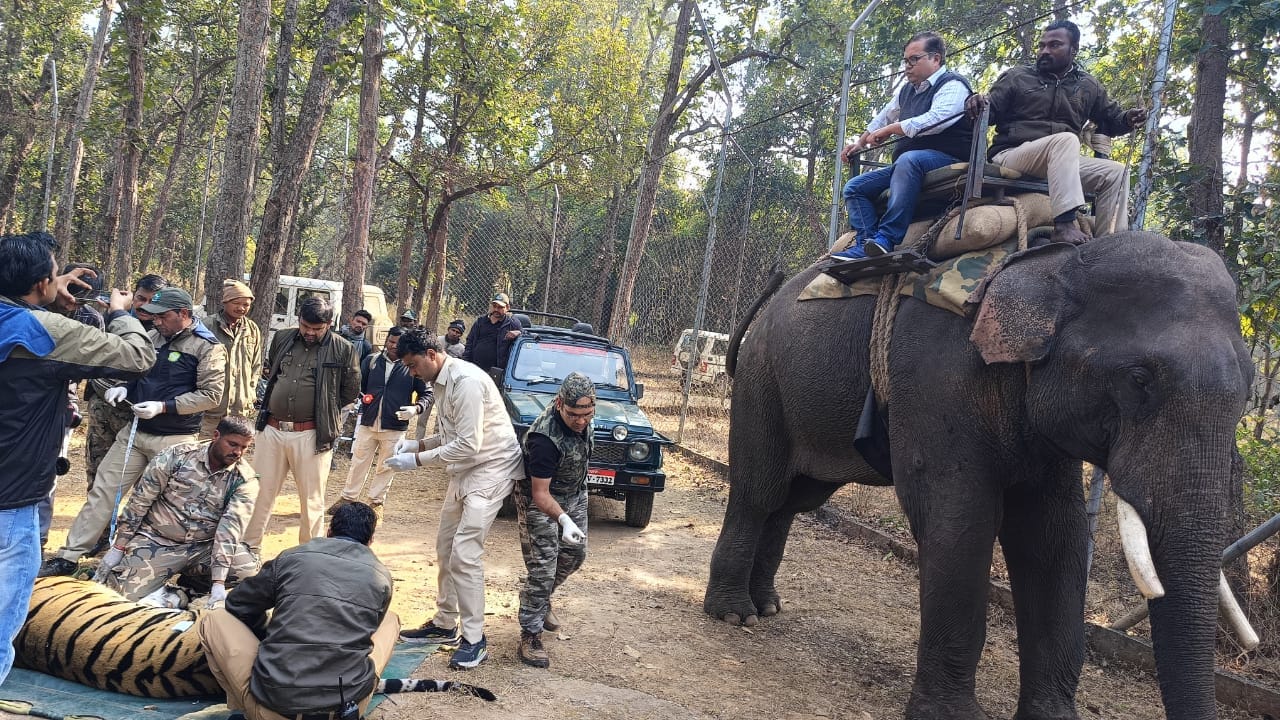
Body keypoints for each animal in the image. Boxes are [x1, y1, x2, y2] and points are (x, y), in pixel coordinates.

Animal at [703, 232, 1254, 720]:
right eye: (1139, 379)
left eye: (1249, 391)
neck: (1054, 261)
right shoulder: (934, 378)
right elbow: (960, 519)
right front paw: (951, 716)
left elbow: (1054, 537)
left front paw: (1051, 717)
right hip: (763, 383)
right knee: (760, 490)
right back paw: (733, 614)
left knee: (795, 499)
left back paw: (766, 606)